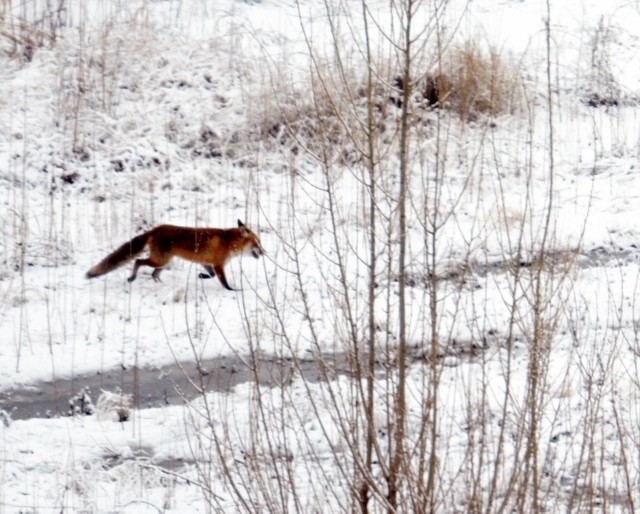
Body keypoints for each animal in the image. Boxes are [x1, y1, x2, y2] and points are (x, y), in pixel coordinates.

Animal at [87, 219, 262, 290]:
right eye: (257, 243)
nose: (263, 252)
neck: (228, 242)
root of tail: (156, 229)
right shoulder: (218, 264)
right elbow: (224, 282)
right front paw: (233, 291)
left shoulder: (206, 262)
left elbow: (210, 275)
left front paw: (201, 276)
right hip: (160, 260)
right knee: (138, 261)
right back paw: (132, 277)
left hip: (165, 262)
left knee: (153, 274)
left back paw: (160, 285)